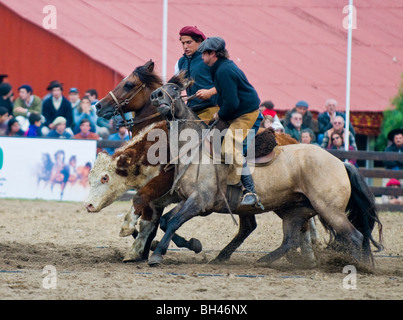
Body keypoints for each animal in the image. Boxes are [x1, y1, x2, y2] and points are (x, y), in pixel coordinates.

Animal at [149, 72, 386, 268]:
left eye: (174, 89)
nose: (155, 95)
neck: (196, 149)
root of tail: (340, 163)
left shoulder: (199, 201)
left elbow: (173, 223)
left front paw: (158, 253)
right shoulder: (188, 200)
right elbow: (166, 221)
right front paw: (188, 244)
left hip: (329, 209)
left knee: (355, 236)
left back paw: (356, 266)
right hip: (295, 210)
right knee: (290, 240)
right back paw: (262, 261)